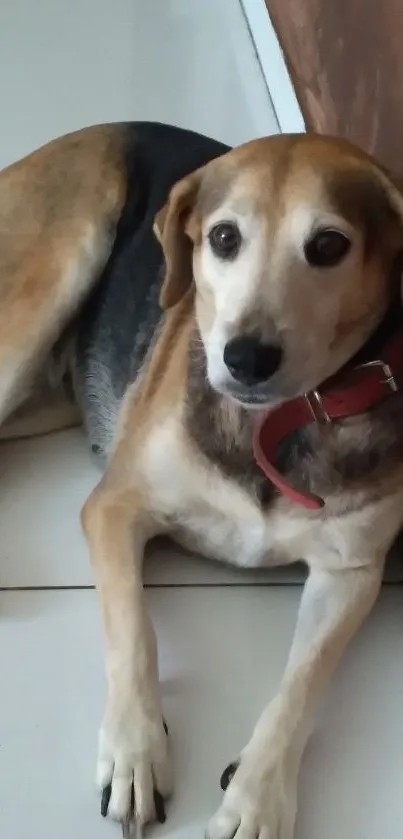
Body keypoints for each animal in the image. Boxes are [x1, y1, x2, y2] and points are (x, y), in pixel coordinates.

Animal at [2, 120, 403, 839]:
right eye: (222, 238)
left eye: (329, 245)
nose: (245, 357)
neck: (270, 424)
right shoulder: (115, 507)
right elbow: (136, 630)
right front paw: (135, 751)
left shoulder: (351, 571)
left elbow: (302, 685)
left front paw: (257, 798)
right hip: (55, 270)